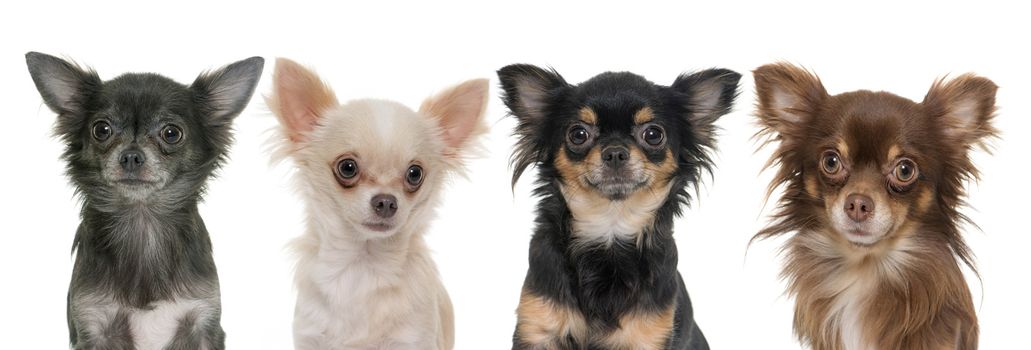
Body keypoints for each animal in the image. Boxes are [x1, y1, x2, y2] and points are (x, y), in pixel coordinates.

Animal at [27, 51, 261, 348]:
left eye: (171, 133)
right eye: (101, 130)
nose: (131, 156)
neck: (143, 222)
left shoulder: (203, 325)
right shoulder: (93, 327)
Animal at [268, 57, 488, 348]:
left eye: (415, 174)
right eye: (347, 167)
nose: (386, 202)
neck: (362, 268)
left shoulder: (414, 337)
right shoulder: (310, 336)